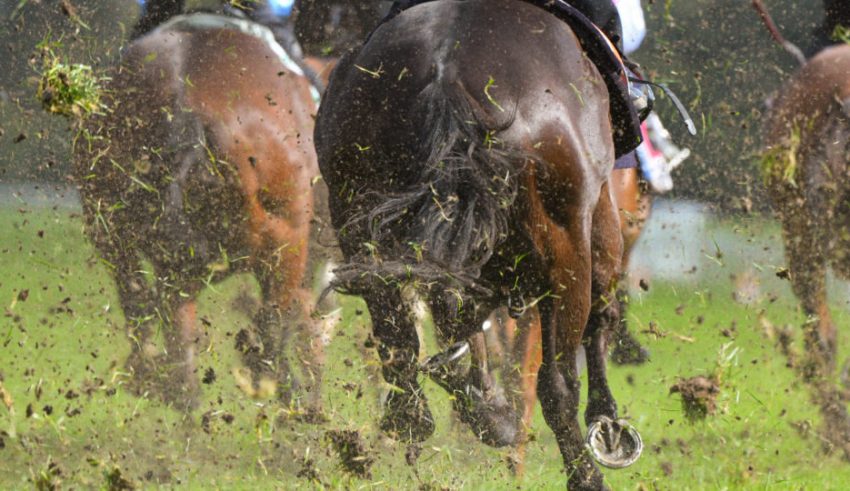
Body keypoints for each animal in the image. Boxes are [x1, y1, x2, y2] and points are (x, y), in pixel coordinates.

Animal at [314, 1, 640, 490]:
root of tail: (447, 77)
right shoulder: (597, 216)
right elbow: (601, 311)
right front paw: (605, 422)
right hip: (566, 250)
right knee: (557, 382)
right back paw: (583, 470)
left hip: (358, 222)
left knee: (403, 339)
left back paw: (425, 412)